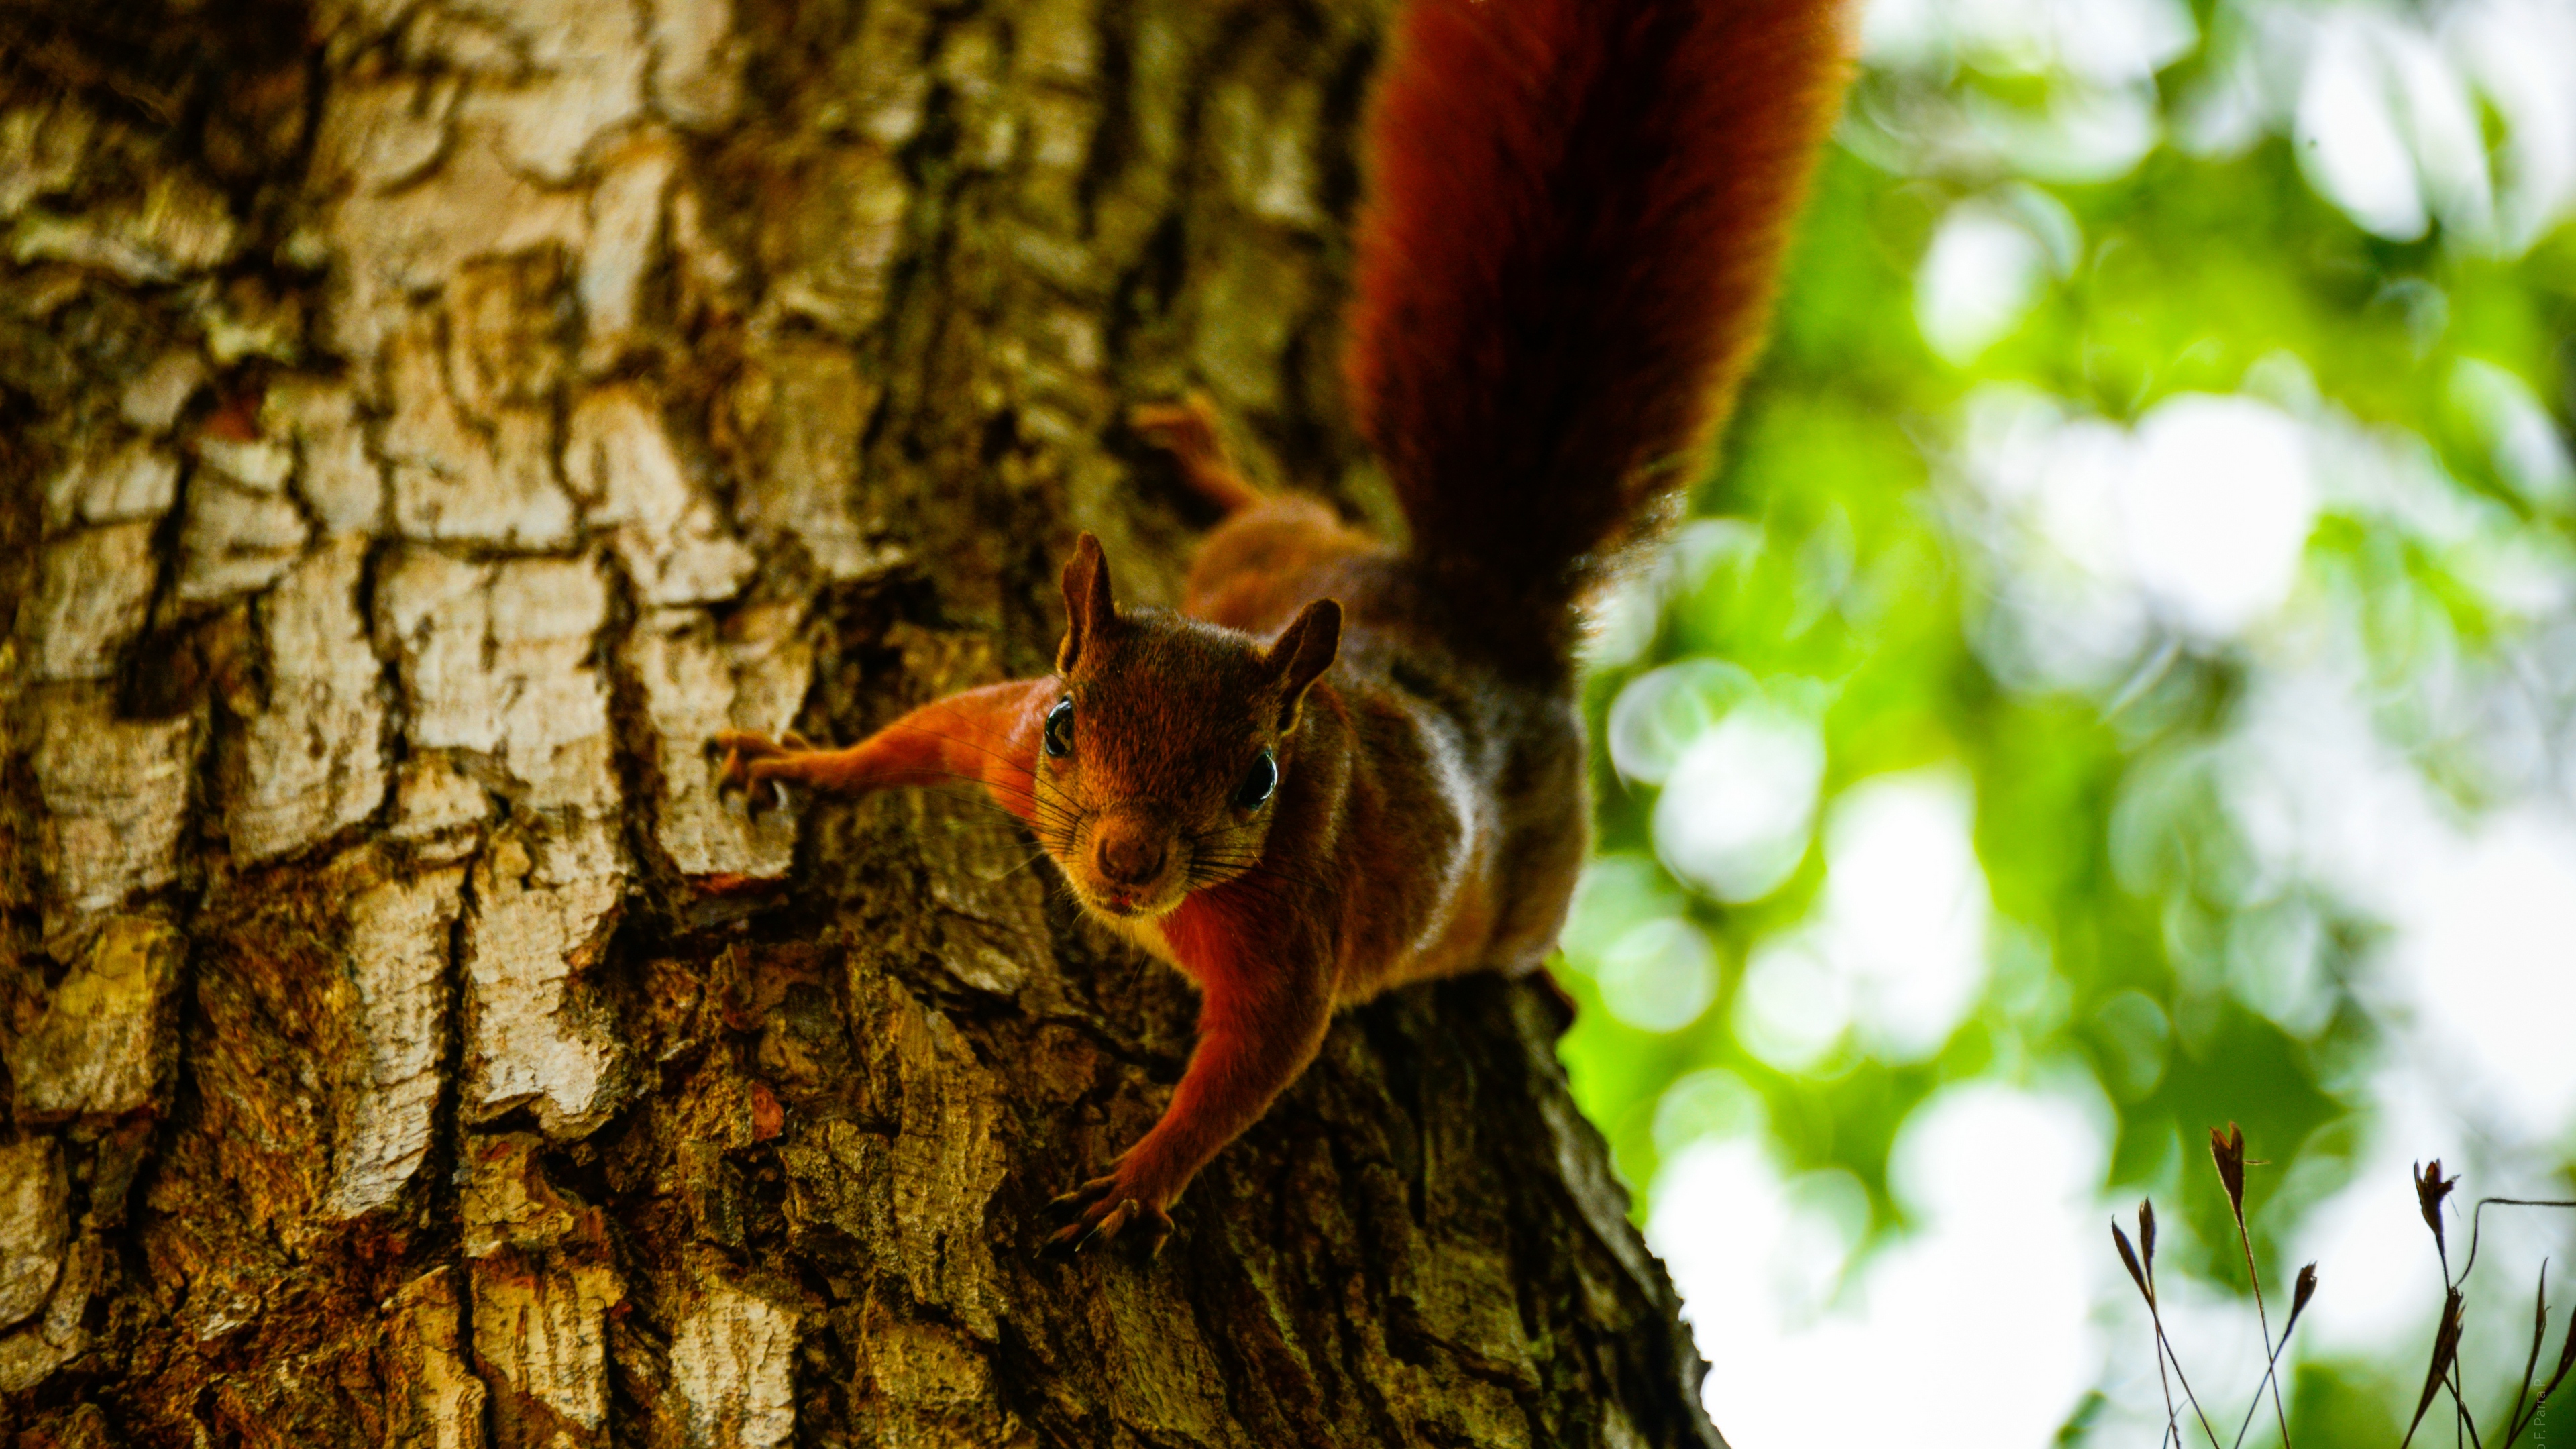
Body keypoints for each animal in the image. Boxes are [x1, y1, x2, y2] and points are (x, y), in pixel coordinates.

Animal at [716, 0, 1844, 1248]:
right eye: (1065, 726)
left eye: (1259, 780)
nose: (1127, 857)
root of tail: (1478, 602)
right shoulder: (1001, 737)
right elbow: (920, 731)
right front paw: (804, 764)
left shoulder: (1291, 940)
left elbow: (1250, 1071)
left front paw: (1140, 1179)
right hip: (1274, 555)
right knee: (1274, 508)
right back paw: (1205, 459)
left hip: (1540, 864)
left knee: (1527, 930)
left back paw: (1542, 980)